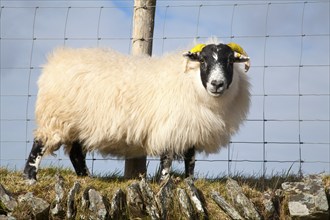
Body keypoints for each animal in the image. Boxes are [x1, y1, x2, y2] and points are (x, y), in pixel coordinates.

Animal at [22, 39, 250, 182]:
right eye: (203, 60)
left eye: (230, 61)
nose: (217, 84)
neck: (190, 81)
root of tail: (54, 63)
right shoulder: (171, 127)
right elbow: (167, 159)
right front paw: (165, 182)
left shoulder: (190, 127)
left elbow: (190, 159)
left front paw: (189, 182)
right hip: (56, 117)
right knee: (39, 144)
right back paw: (30, 177)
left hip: (79, 124)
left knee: (76, 153)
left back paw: (86, 177)